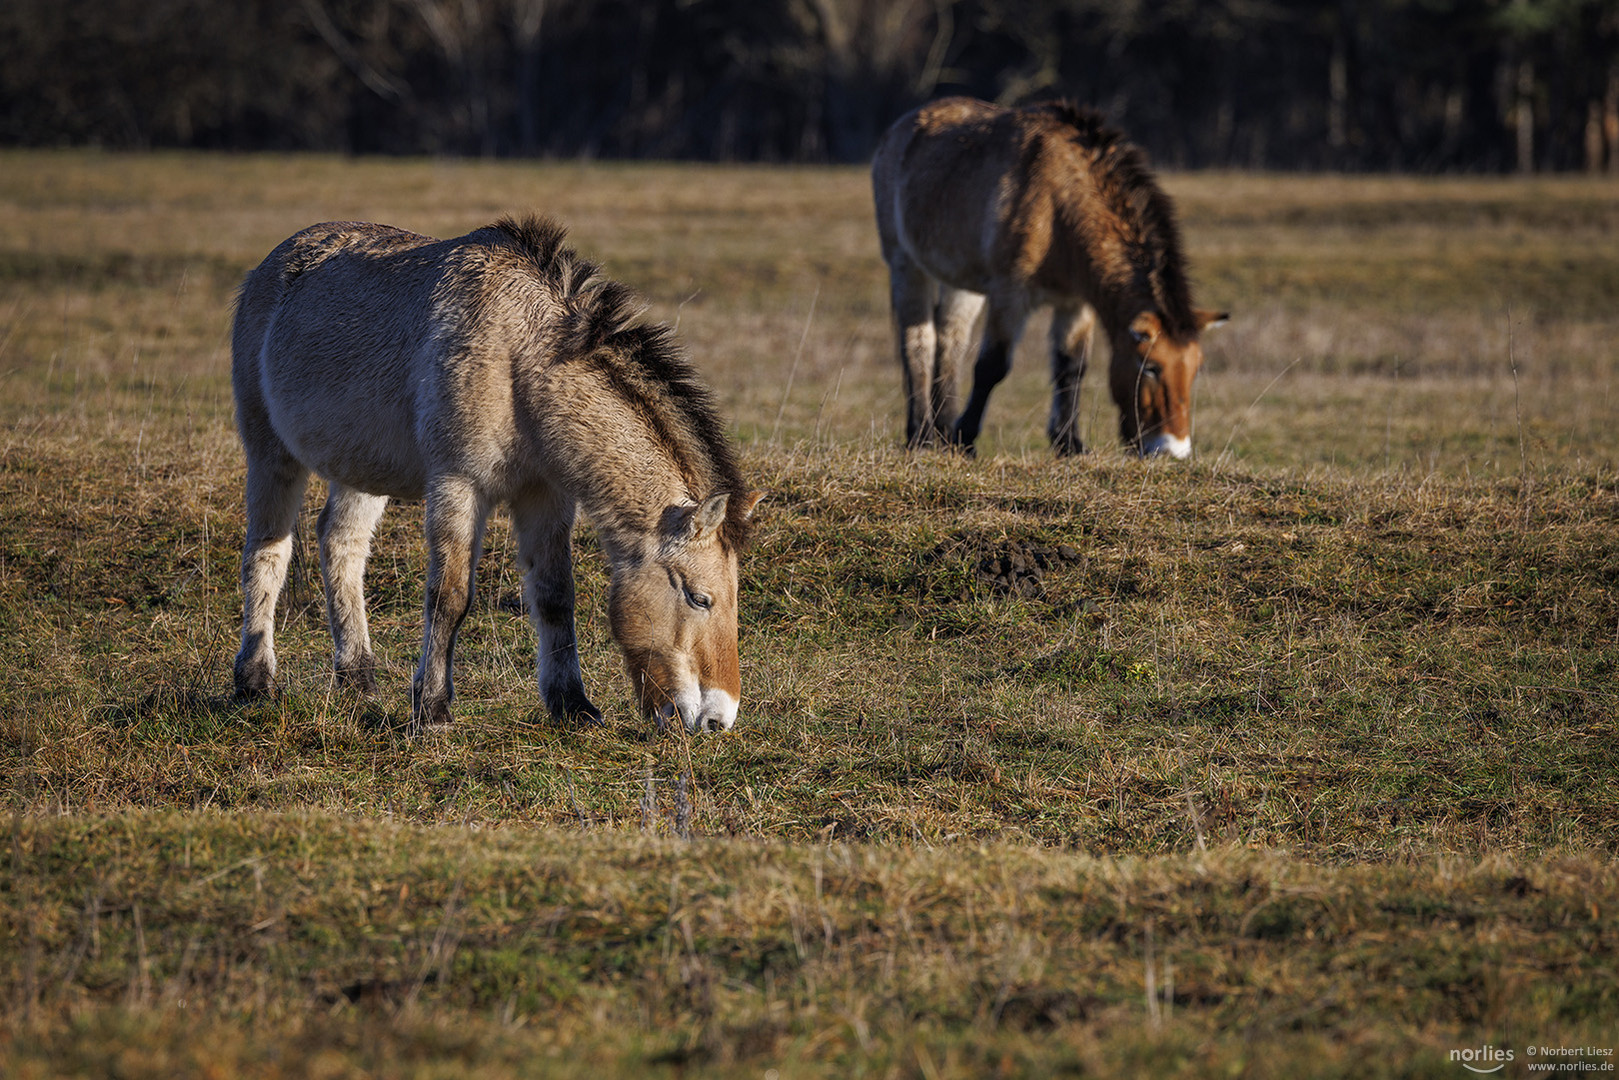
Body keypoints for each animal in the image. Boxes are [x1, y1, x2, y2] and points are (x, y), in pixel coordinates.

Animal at [231, 213, 760, 735]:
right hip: (270, 454)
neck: (521, 358)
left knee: (341, 542)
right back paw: (254, 681)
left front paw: (572, 704)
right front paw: (432, 709)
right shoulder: (458, 485)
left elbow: (555, 595)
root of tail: (272, 265)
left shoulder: (545, 495)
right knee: (267, 551)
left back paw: (358, 677)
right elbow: (449, 597)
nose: (719, 718)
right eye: (699, 598)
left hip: (361, 468)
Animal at [874, 95, 1223, 459]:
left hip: (960, 282)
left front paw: (1069, 443)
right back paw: (922, 436)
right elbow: (991, 367)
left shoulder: (1075, 303)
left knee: (950, 340)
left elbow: (1071, 368)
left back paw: (942, 431)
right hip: (906, 266)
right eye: (1150, 367)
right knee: (918, 342)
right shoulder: (1010, 295)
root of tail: (903, 126)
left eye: (1195, 368)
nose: (1174, 449)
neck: (1060, 202)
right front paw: (965, 438)